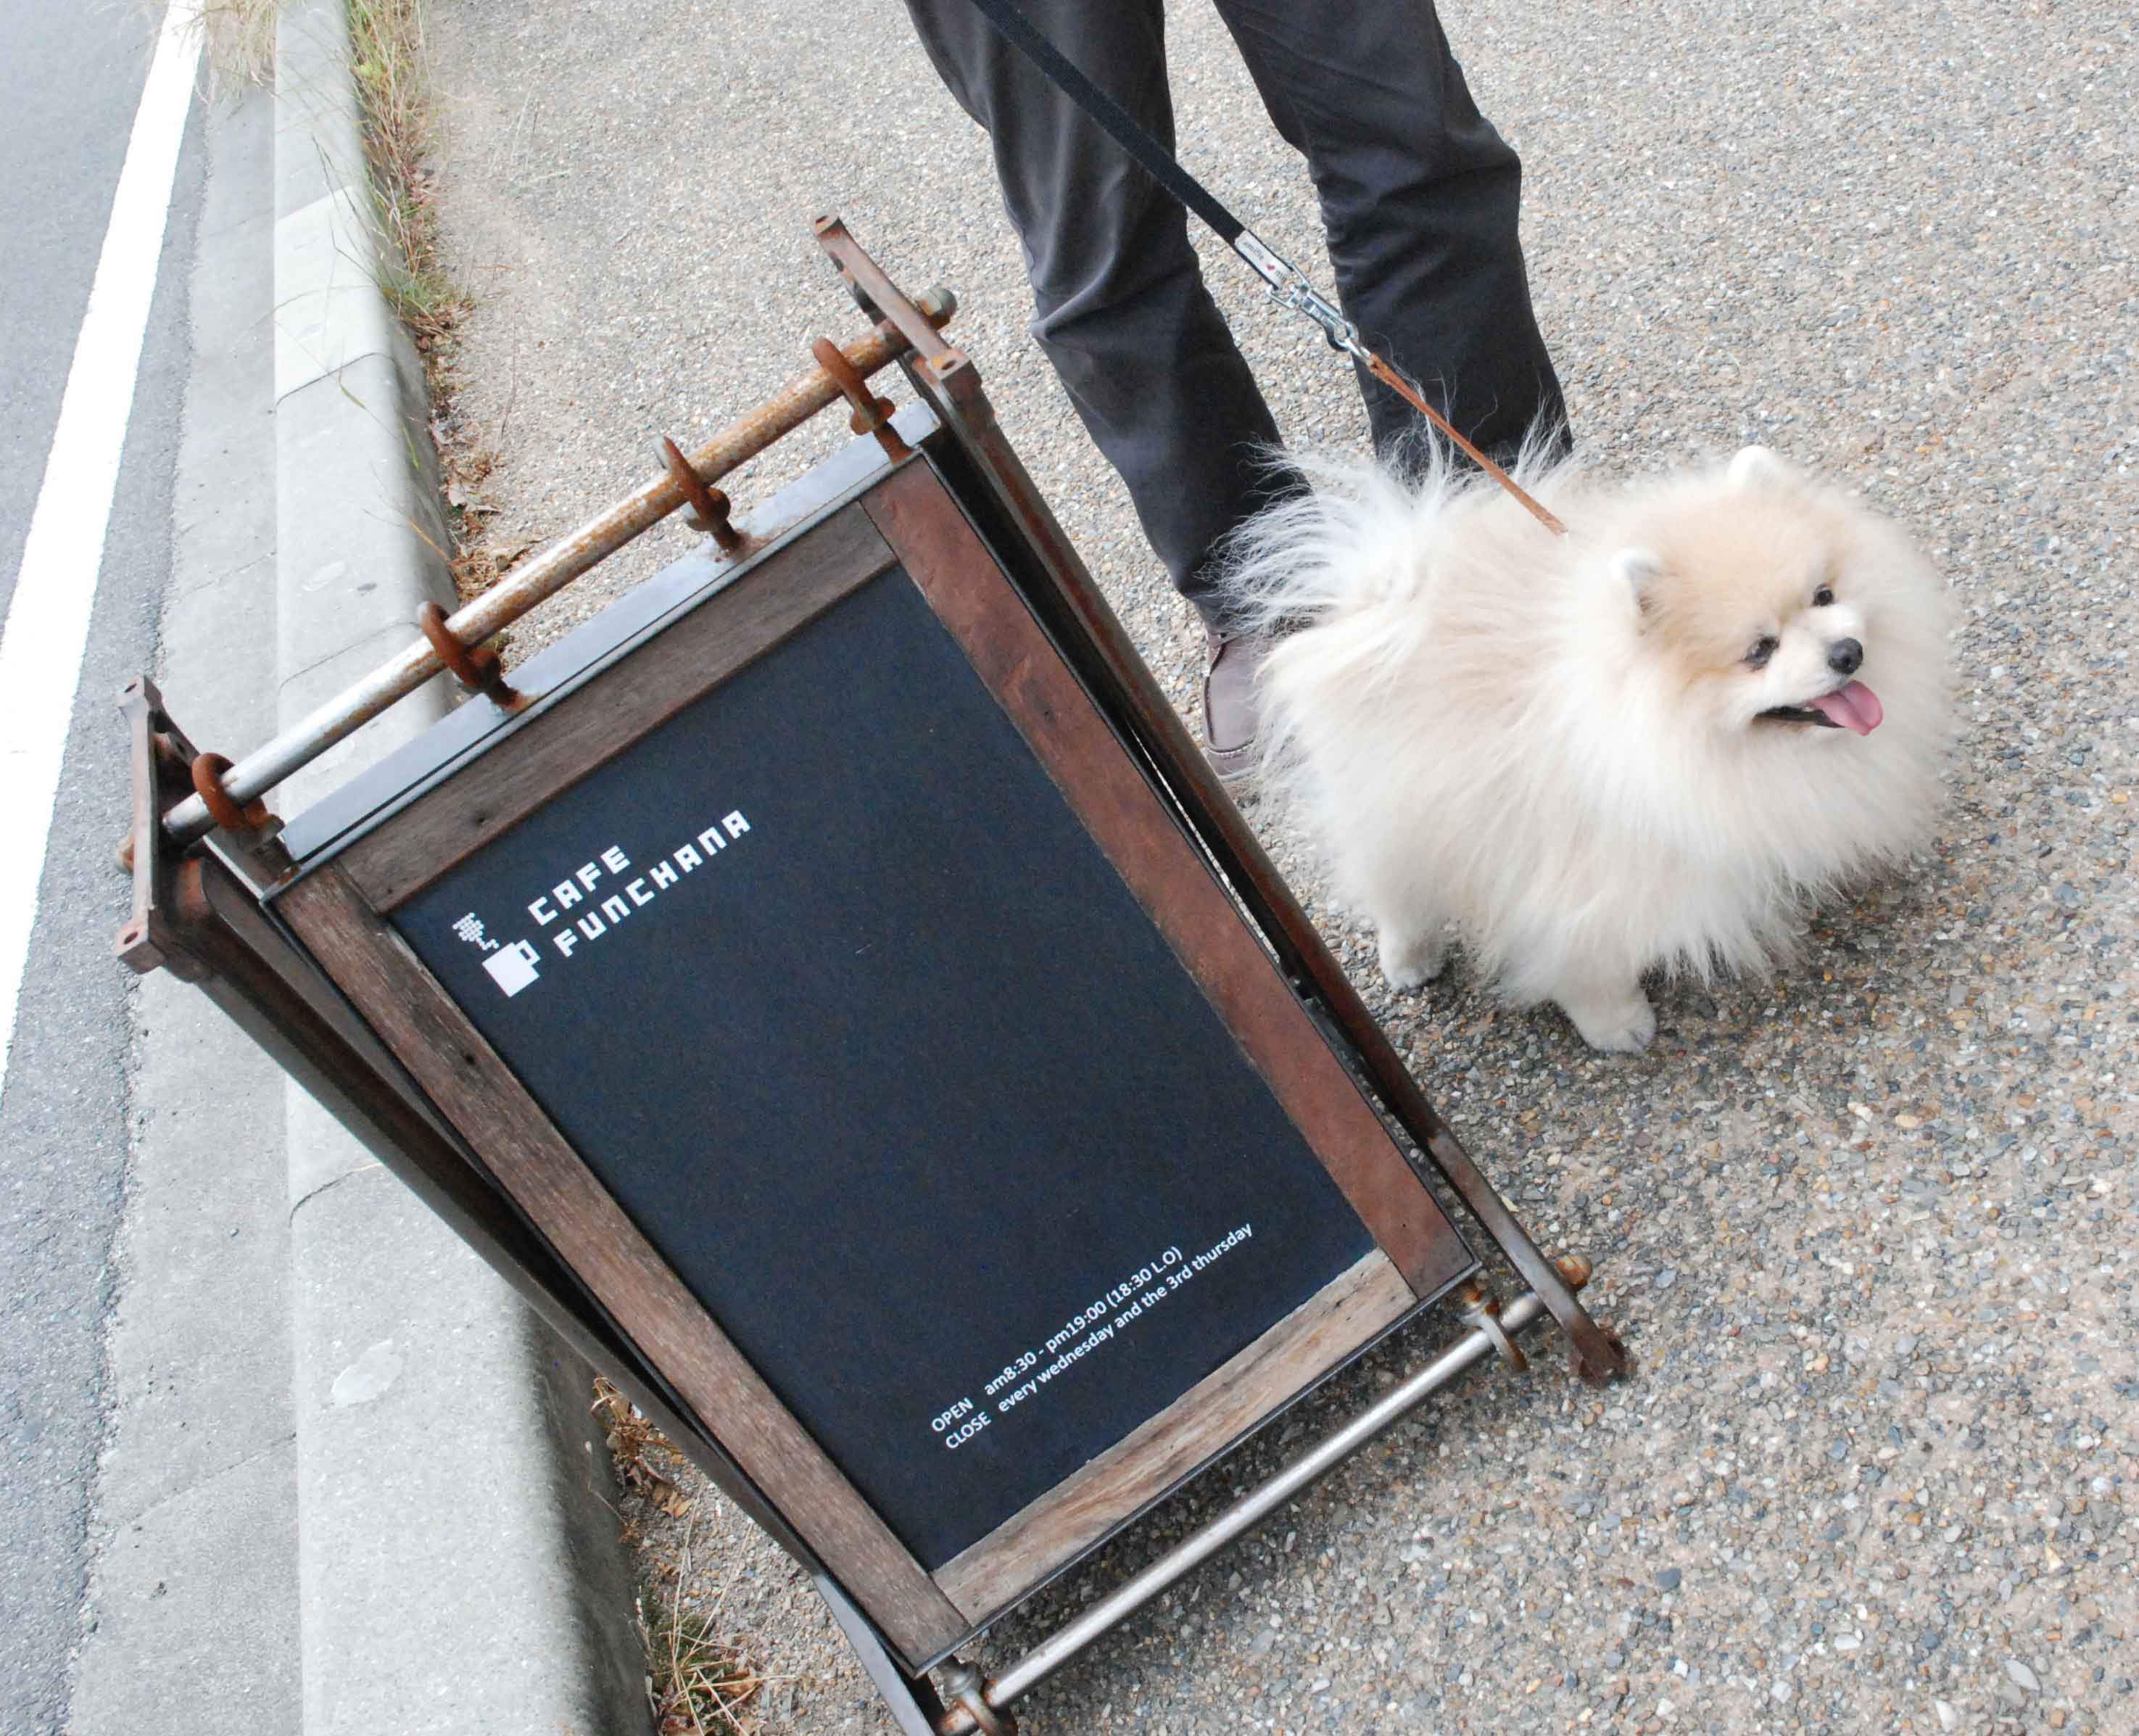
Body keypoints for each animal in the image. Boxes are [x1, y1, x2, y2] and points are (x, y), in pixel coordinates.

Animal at [1225, 442, 1954, 1052]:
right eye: (1759, 651)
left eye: (1824, 594)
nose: (1847, 652)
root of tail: (1377, 593)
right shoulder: (1569, 868)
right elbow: (1585, 956)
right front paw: (1618, 1025)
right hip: (1384, 801)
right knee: (1392, 887)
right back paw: (1409, 958)